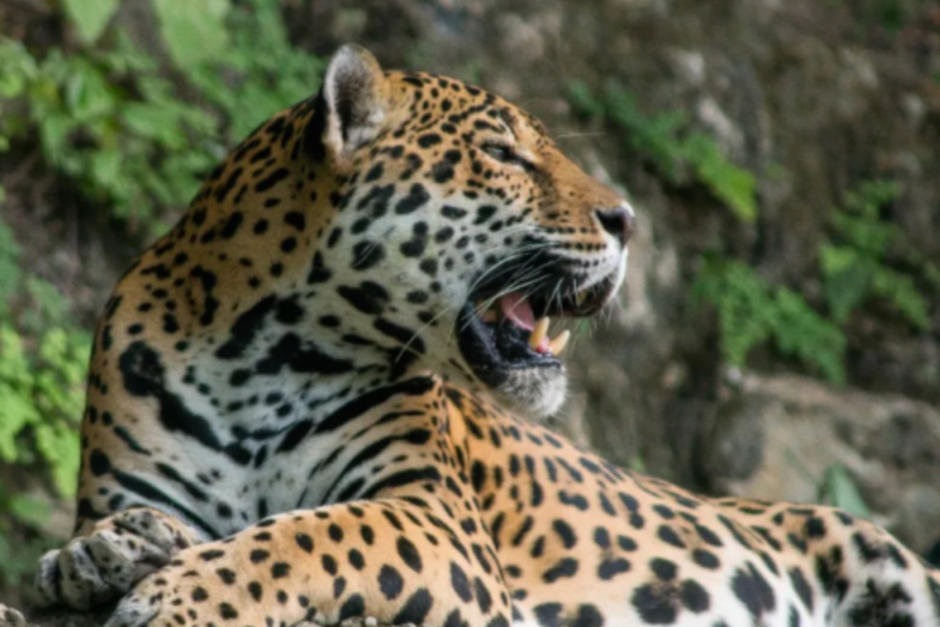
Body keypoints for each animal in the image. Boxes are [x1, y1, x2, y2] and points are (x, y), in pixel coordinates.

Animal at [7, 43, 940, 627]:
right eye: (501, 153)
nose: (629, 220)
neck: (261, 358)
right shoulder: (136, 481)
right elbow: (121, 530)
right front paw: (100, 557)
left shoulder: (434, 514)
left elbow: (305, 532)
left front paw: (180, 594)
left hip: (884, 557)